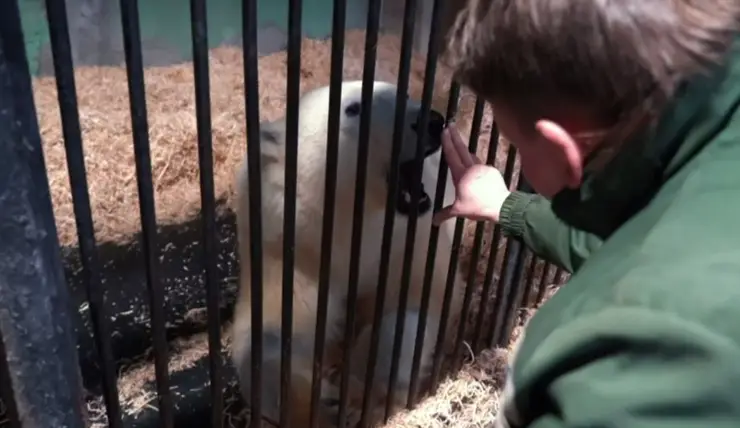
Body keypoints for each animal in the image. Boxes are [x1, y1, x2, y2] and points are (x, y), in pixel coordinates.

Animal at [231, 81, 462, 428]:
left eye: (404, 93)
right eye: (353, 108)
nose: (431, 121)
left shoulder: (405, 242)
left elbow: (412, 303)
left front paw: (361, 394)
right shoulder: (289, 247)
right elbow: (272, 332)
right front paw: (319, 402)